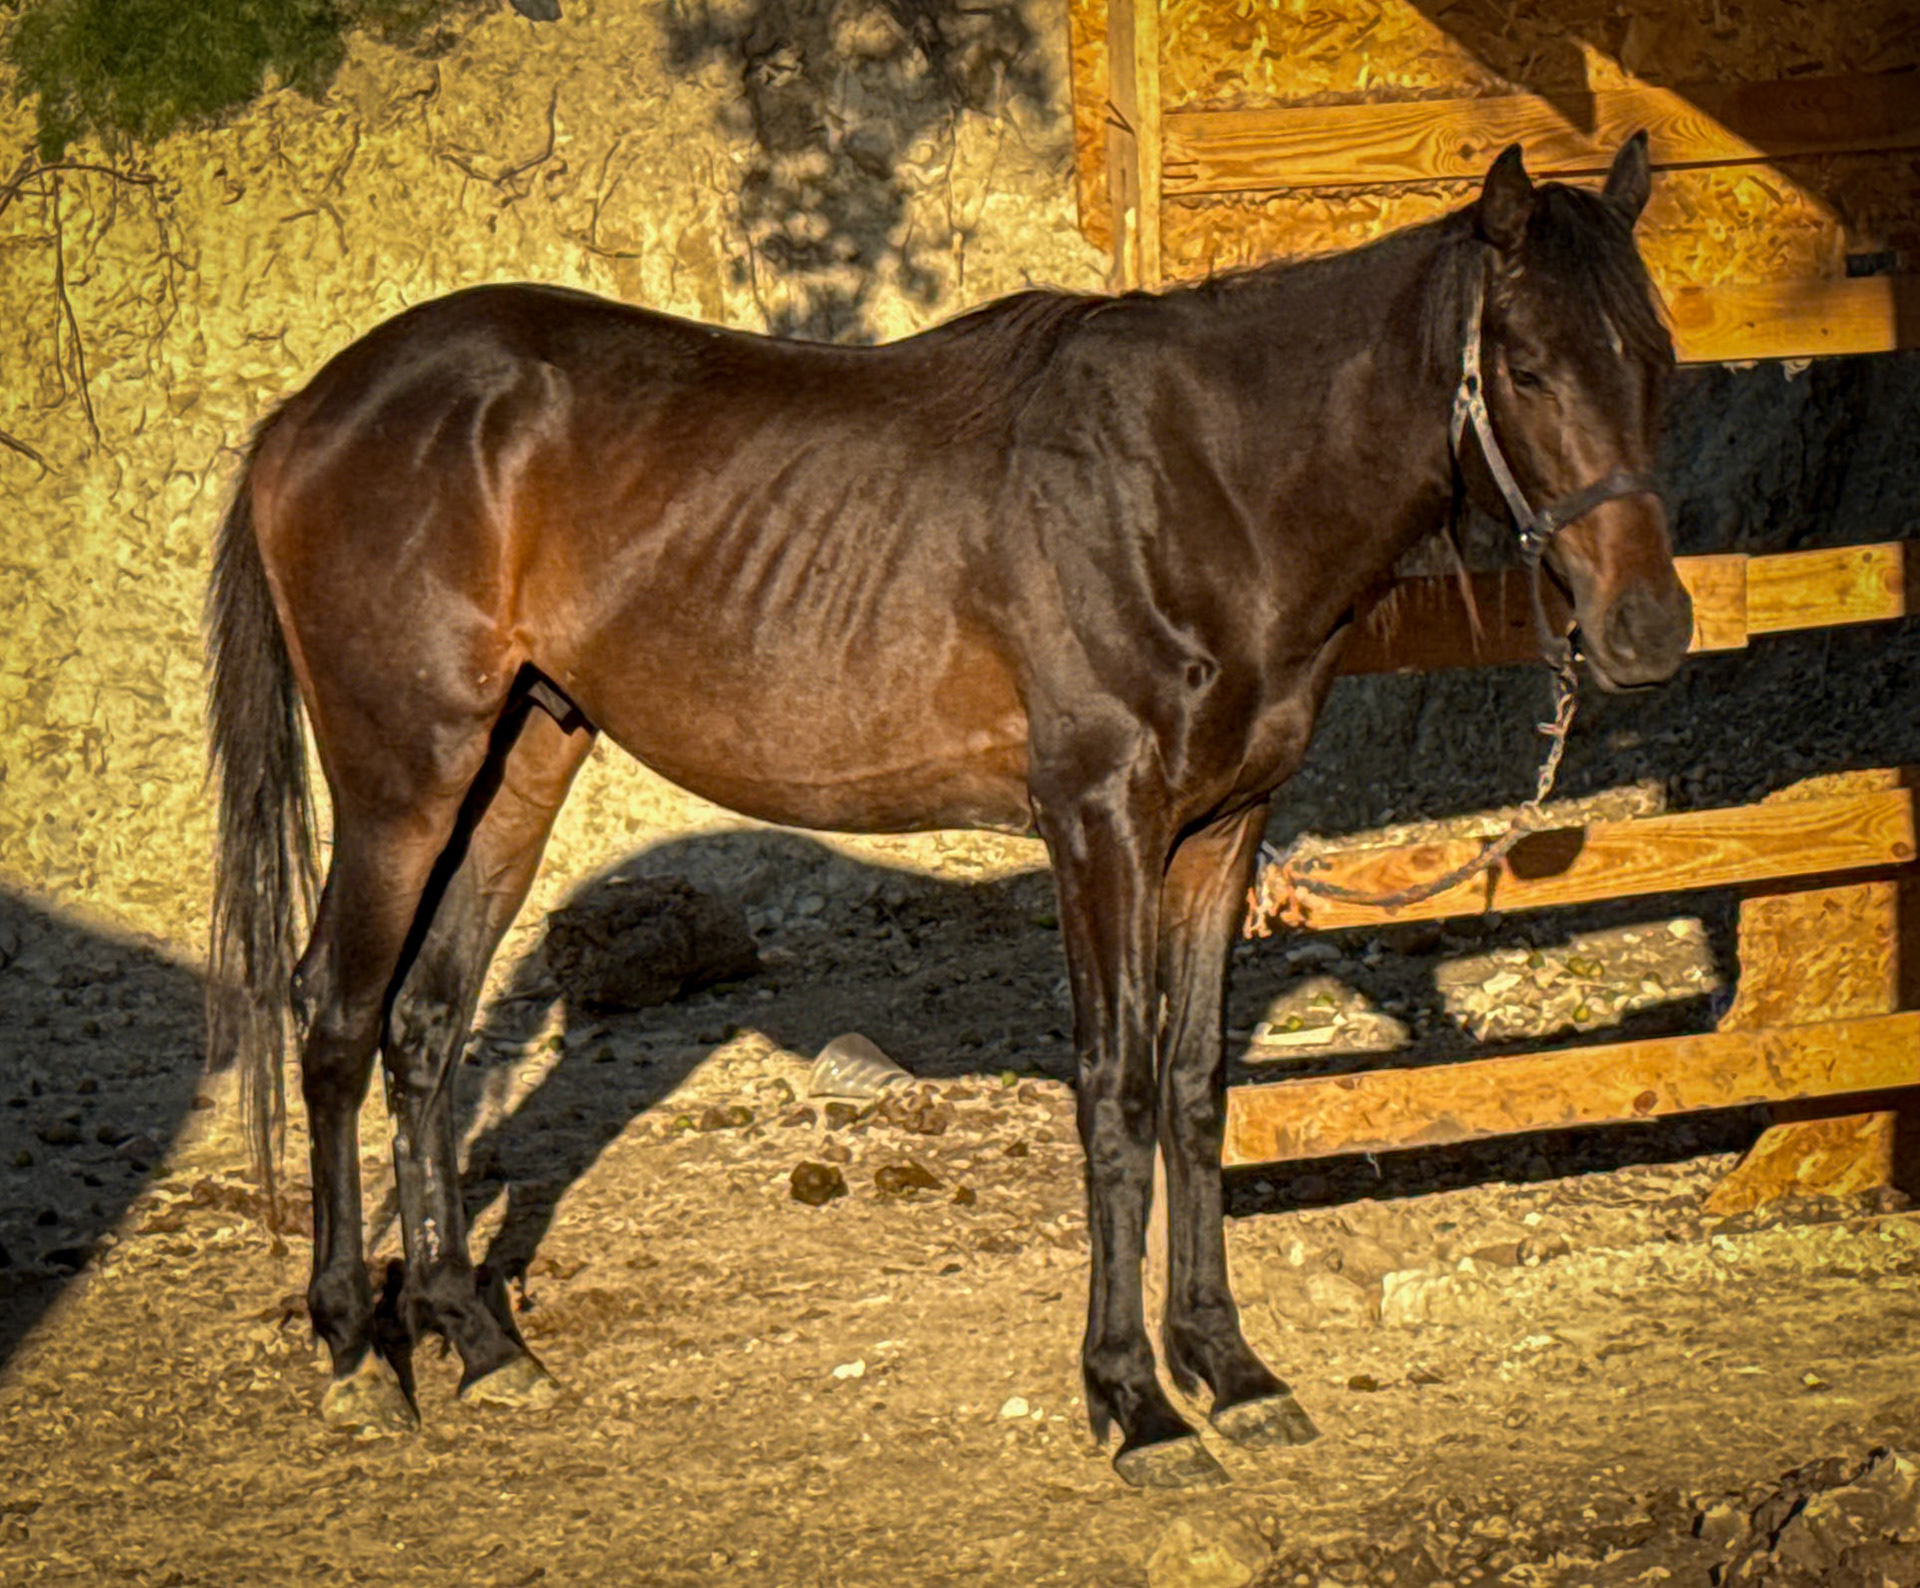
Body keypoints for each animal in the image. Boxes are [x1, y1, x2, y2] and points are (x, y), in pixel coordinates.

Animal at [206, 136, 1691, 1488]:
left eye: (1657, 360)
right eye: (1527, 366)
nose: (1649, 630)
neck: (1200, 487)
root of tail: (309, 410)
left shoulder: (1222, 832)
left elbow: (1196, 1088)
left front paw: (1228, 1368)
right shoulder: (1099, 824)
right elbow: (1117, 1094)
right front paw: (1134, 1404)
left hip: (520, 766)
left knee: (424, 1027)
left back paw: (478, 1341)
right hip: (402, 780)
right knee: (336, 1019)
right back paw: (354, 1350)